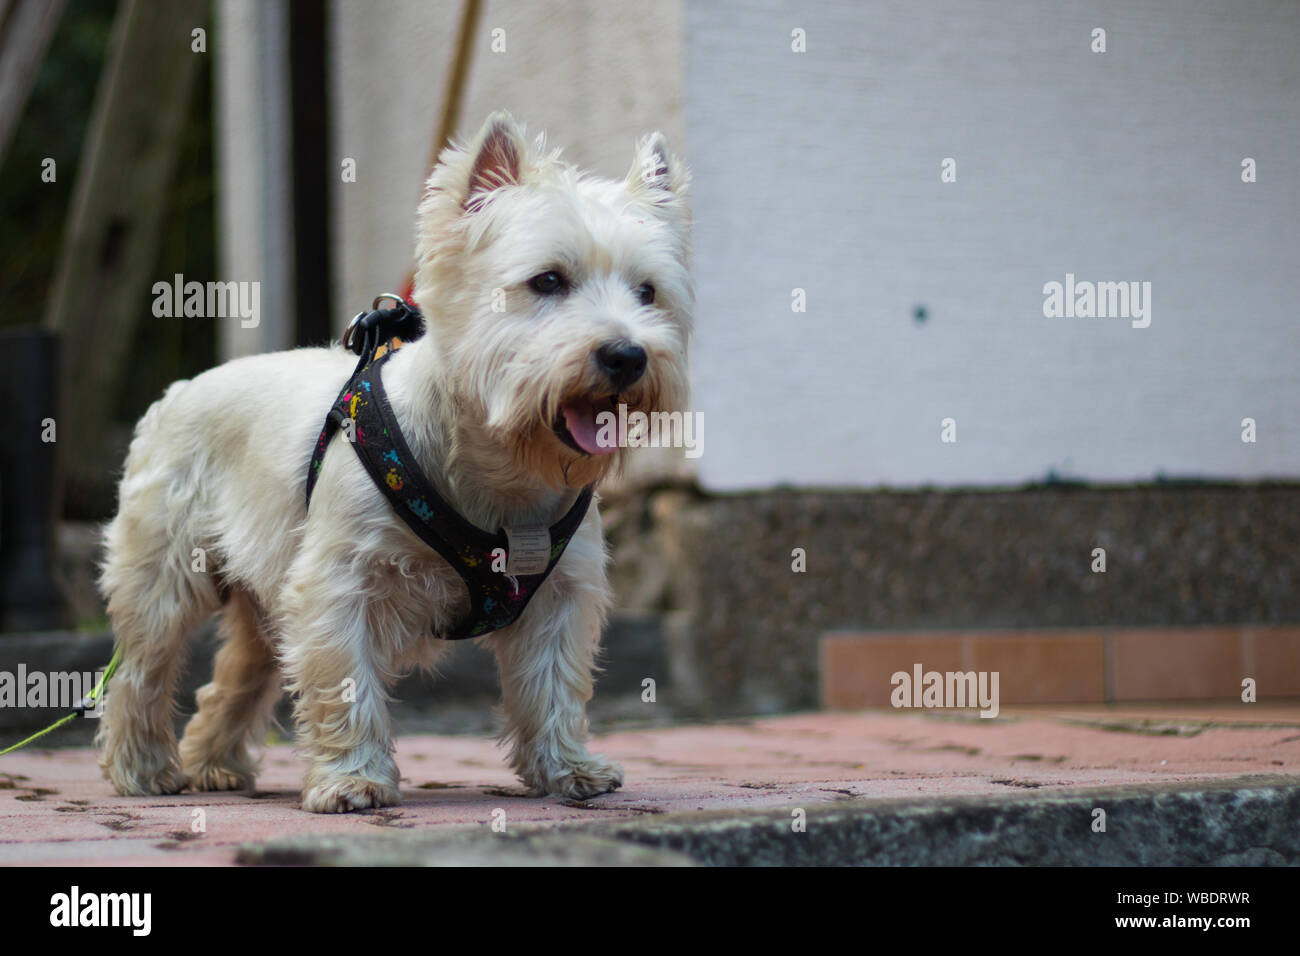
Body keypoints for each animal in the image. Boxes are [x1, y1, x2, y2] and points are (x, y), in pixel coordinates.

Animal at [96, 111, 696, 816]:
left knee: (235, 676)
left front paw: (568, 769)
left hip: (262, 589)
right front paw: (351, 780)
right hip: (164, 571)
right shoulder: (337, 581)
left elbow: (554, 683)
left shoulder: (562, 592)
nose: (627, 355)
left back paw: (215, 765)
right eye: (547, 280)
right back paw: (142, 768)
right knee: (142, 667)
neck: (501, 469)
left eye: (647, 292)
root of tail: (180, 389)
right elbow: (345, 680)